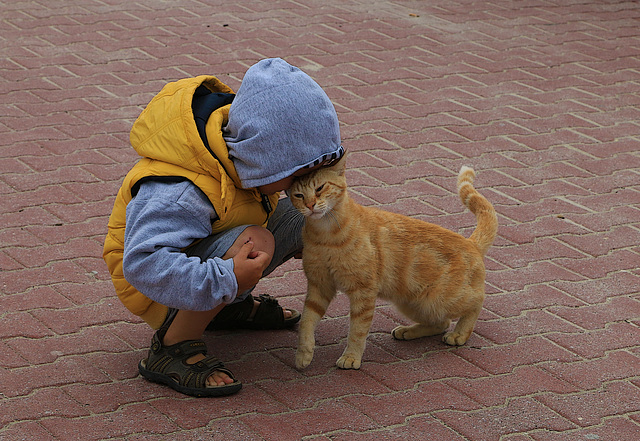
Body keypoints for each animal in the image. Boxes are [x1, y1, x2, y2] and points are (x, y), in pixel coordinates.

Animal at [292, 156, 500, 370]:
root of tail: (470, 242)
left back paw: (459, 333)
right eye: (299, 195)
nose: (310, 205)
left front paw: (351, 356)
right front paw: (304, 353)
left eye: (320, 188)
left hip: (441, 299)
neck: (324, 235)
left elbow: (357, 331)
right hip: (414, 303)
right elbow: (307, 320)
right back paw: (408, 331)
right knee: (441, 323)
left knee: (476, 302)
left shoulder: (363, 291)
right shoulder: (319, 286)